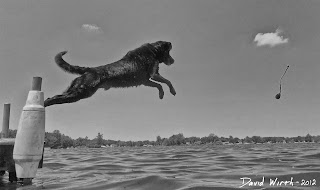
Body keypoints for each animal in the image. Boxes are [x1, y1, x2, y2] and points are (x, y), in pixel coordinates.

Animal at [44, 41, 176, 107]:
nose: (173, 61)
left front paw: (161, 94)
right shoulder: (153, 75)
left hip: (75, 89)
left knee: (57, 96)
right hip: (81, 92)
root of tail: (90, 70)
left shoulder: (145, 81)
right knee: (54, 98)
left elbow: (159, 85)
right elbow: (168, 81)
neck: (154, 51)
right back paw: (45, 104)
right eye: (169, 52)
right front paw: (173, 91)